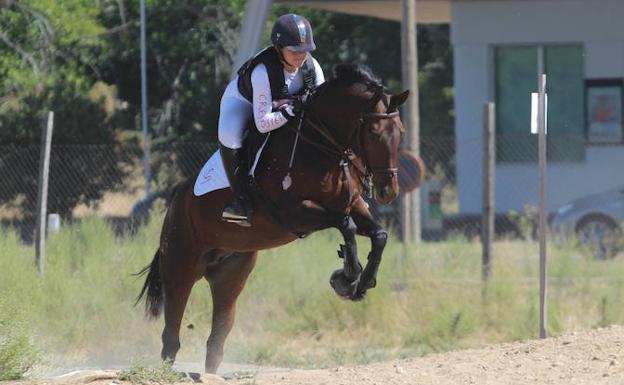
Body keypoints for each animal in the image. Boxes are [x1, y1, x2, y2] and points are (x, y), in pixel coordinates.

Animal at [136, 63, 410, 372]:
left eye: (400, 132)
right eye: (373, 133)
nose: (388, 191)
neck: (321, 146)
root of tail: (177, 199)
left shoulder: (352, 204)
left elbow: (379, 234)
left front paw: (361, 283)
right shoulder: (295, 213)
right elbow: (345, 225)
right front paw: (347, 277)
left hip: (230, 275)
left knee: (217, 337)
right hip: (180, 269)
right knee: (171, 334)